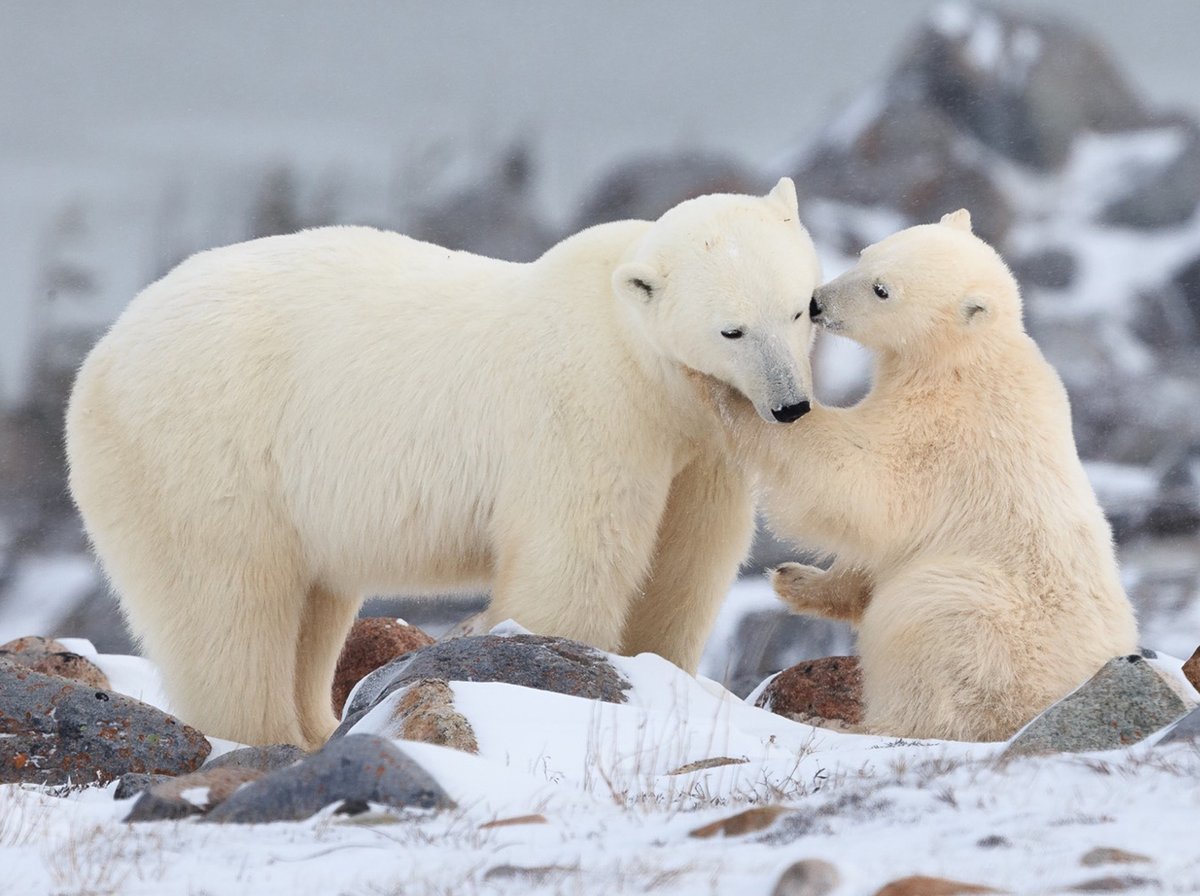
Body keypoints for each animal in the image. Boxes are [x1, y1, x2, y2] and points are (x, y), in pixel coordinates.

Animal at [65, 178, 821, 750]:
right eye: (731, 329)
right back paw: (269, 736)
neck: (637, 359)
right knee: (226, 606)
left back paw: (316, 726)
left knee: (312, 607)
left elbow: (688, 559)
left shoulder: (703, 447)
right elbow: (576, 557)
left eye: (800, 309)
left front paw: (660, 669)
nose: (790, 406)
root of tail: (100, 357)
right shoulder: (585, 413)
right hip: (204, 454)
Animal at [710, 210, 1138, 742]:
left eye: (882, 290)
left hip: (980, 622)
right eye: (865, 253)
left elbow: (866, 486)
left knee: (925, 635)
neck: (964, 358)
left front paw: (729, 396)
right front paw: (797, 579)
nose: (816, 302)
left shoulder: (942, 429)